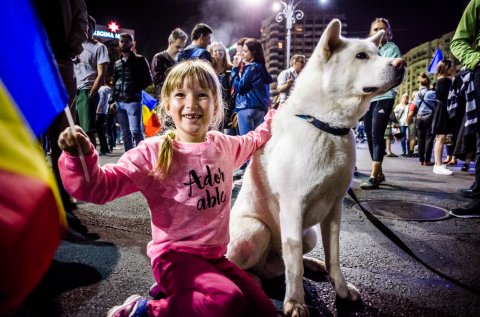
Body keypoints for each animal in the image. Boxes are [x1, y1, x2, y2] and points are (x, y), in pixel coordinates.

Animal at [228, 18, 404, 314]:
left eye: (380, 53)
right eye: (361, 56)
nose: (401, 63)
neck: (326, 126)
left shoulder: (334, 208)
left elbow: (333, 255)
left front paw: (341, 290)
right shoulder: (292, 206)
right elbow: (294, 265)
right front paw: (295, 302)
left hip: (307, 233)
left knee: (288, 260)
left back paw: (311, 264)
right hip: (253, 230)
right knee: (237, 263)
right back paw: (251, 279)